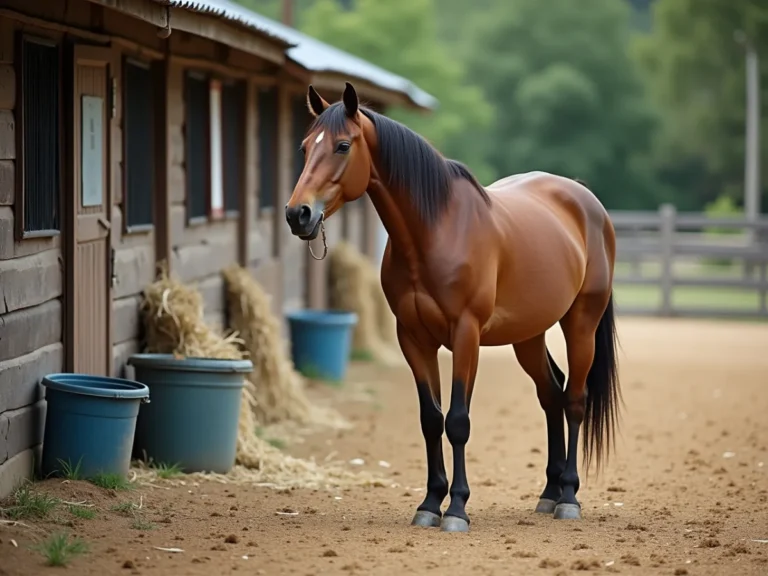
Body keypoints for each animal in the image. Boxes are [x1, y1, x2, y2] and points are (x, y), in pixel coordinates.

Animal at [285, 82, 621, 533]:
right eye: (305, 147)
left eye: (342, 145)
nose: (297, 214)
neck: (436, 231)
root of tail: (586, 200)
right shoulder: (413, 338)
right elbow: (431, 419)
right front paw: (430, 504)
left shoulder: (466, 335)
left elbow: (458, 421)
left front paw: (457, 508)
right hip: (528, 336)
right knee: (551, 394)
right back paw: (548, 494)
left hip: (580, 323)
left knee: (575, 401)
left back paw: (568, 497)